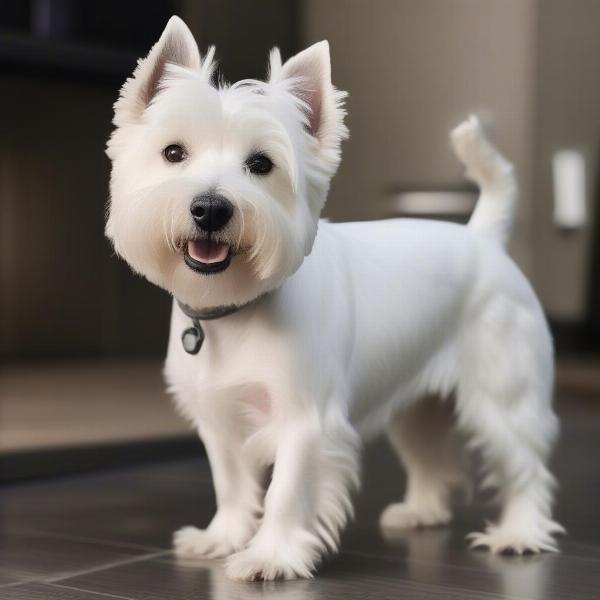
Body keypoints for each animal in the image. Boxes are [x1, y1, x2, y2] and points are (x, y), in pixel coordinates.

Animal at [106, 16, 564, 580]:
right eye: (174, 153)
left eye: (261, 164)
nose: (210, 208)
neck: (235, 310)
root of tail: (483, 238)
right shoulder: (220, 422)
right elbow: (231, 485)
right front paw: (223, 538)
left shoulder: (306, 420)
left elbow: (285, 492)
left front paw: (270, 556)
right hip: (417, 406)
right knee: (432, 458)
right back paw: (421, 511)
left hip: (502, 399)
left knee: (525, 468)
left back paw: (519, 534)